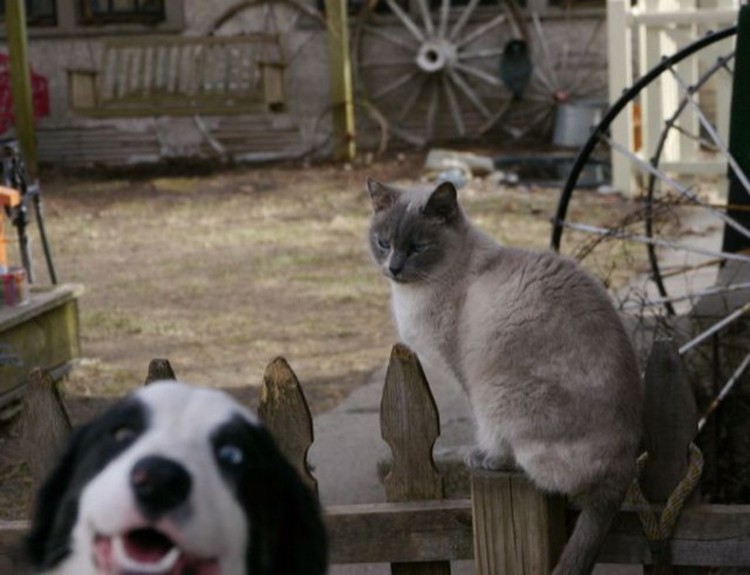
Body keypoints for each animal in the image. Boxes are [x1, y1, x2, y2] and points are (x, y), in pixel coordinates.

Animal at [368, 178, 644, 572]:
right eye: (383, 243)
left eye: (418, 247)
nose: (393, 268)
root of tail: (626, 463)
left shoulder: (466, 376)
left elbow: (486, 430)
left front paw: (481, 453)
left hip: (498, 392)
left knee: (530, 465)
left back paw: (488, 461)